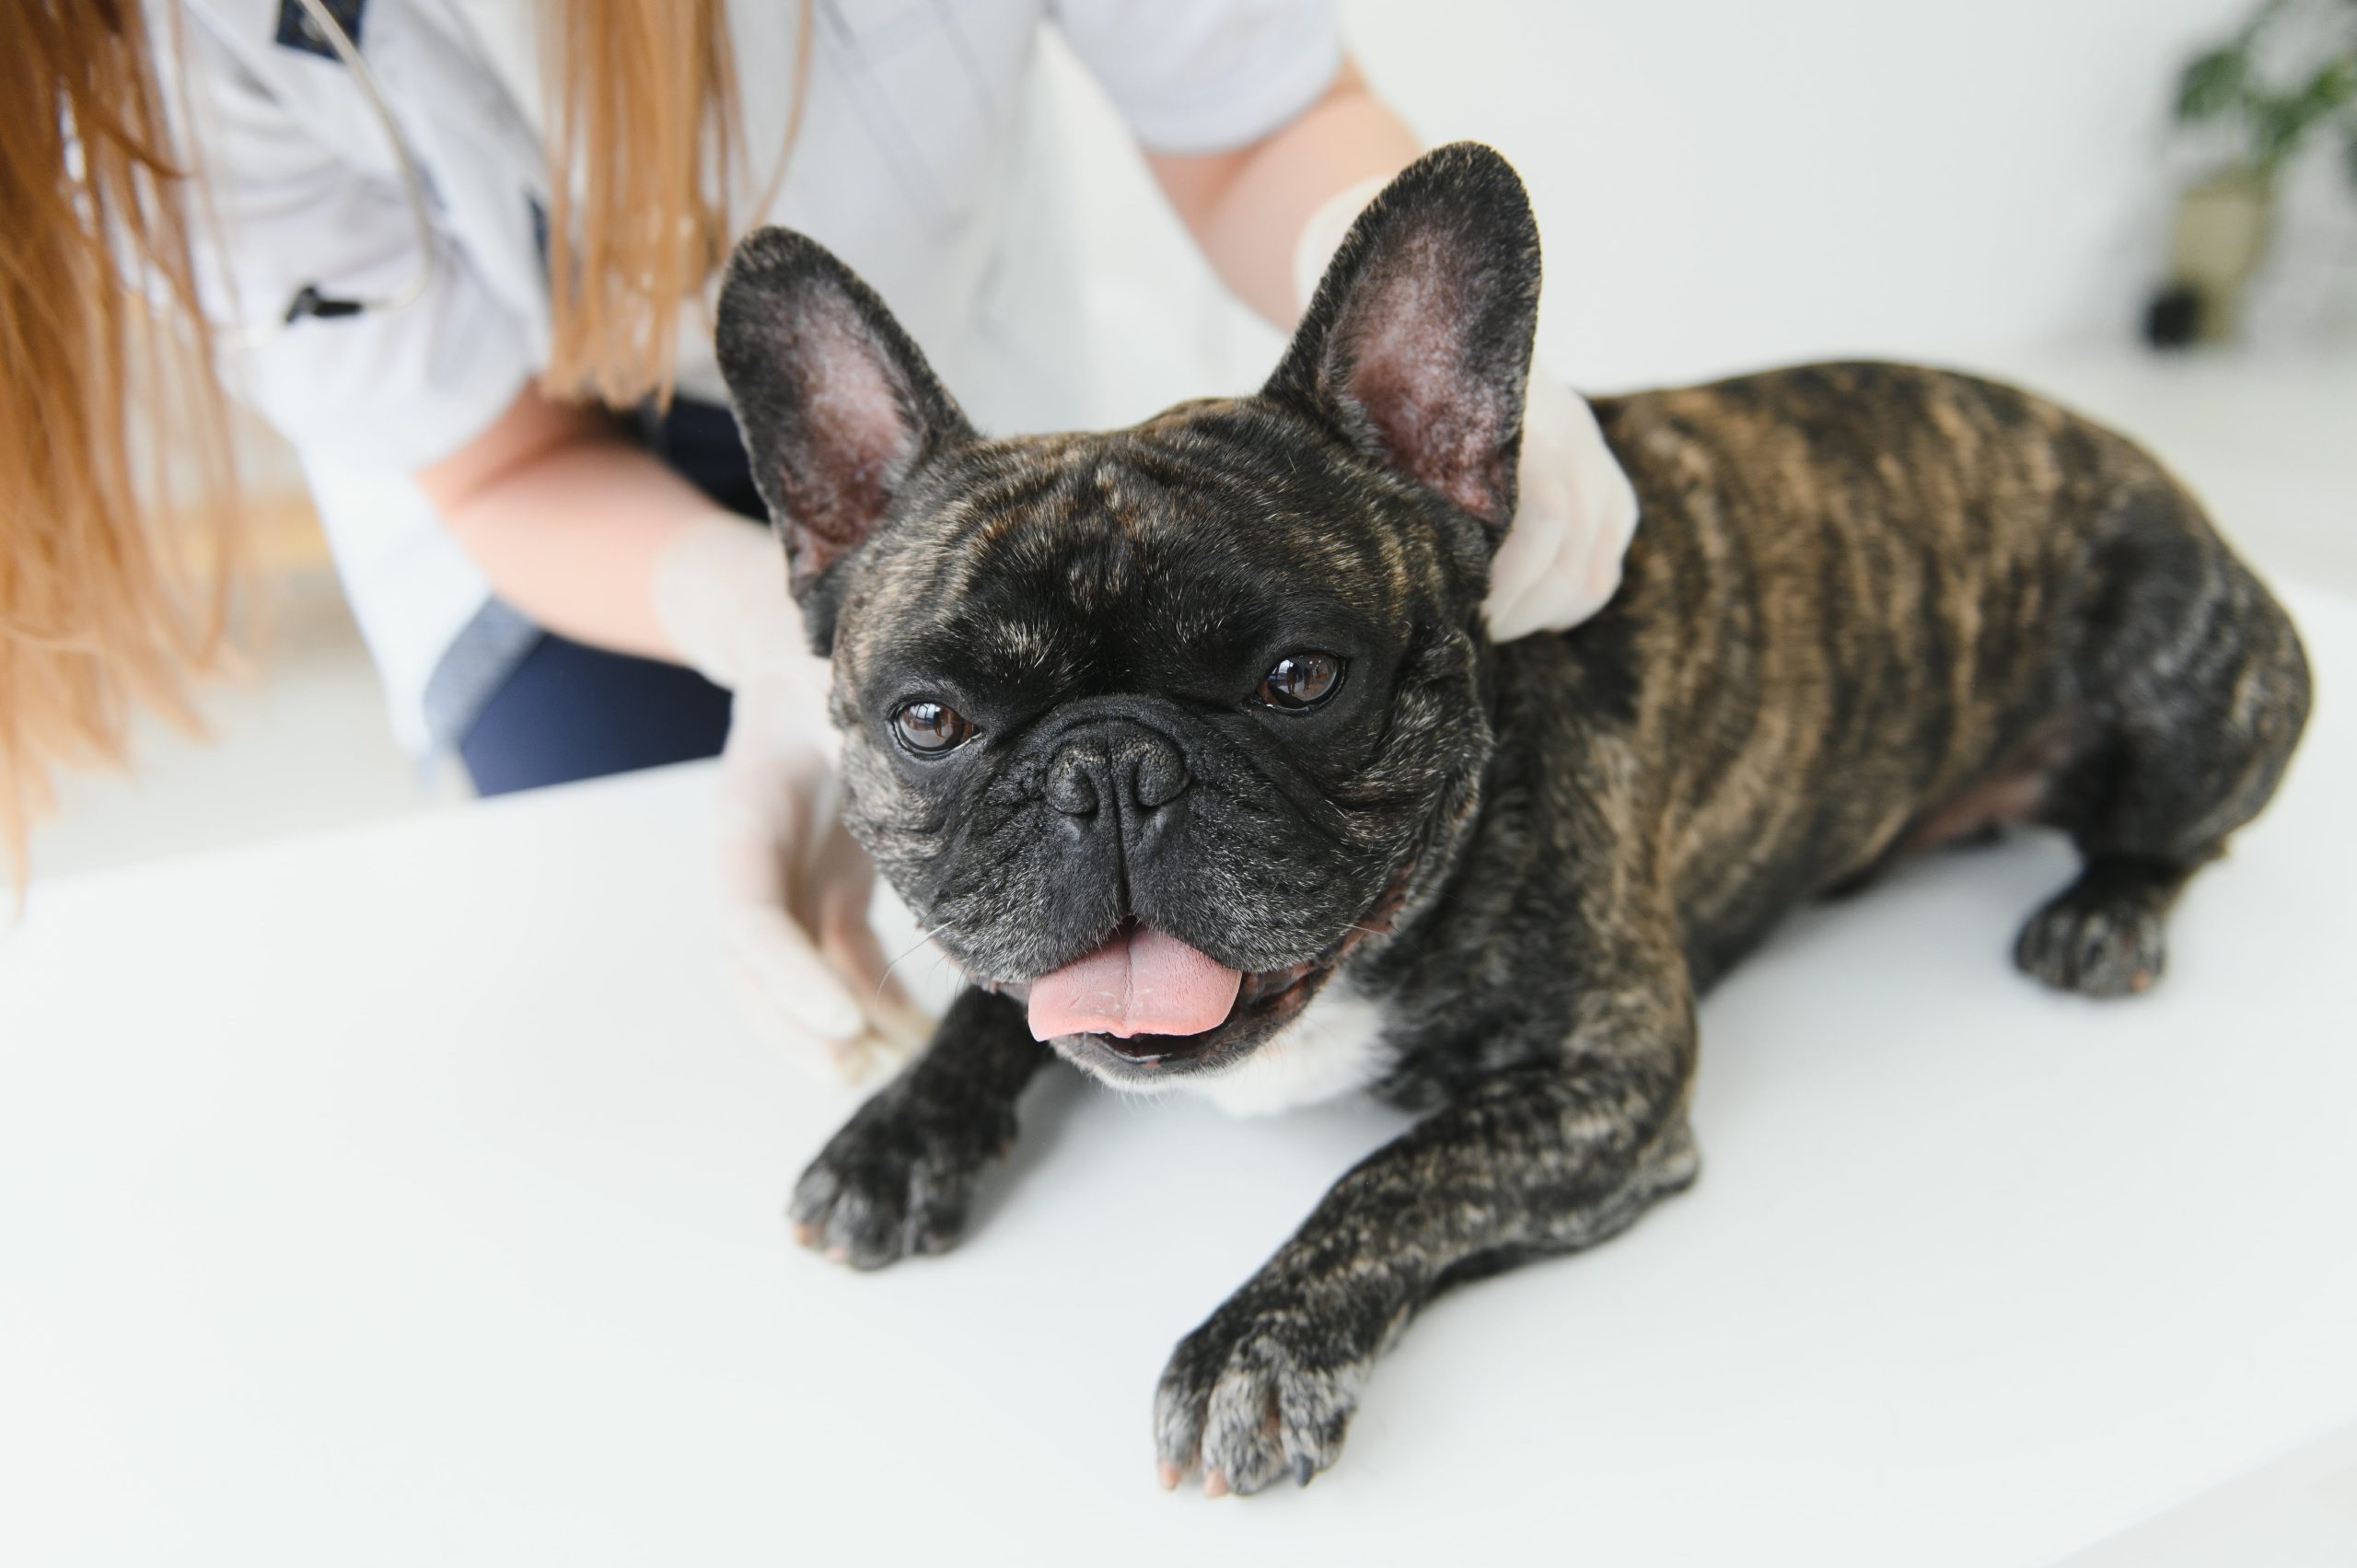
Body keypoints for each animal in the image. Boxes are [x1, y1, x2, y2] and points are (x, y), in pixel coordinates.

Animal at [707, 137, 2309, 1490]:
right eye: (930, 720)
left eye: (1301, 677)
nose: (1111, 766)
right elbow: (996, 1009)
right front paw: (898, 1133)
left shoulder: (1605, 1078)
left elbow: (1398, 1169)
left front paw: (1257, 1343)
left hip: (2190, 682)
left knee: (2187, 827)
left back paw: (2103, 912)